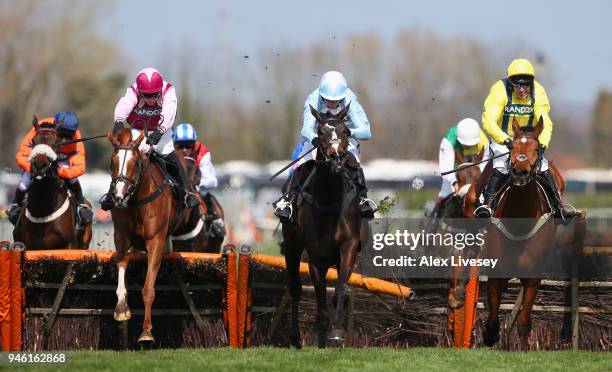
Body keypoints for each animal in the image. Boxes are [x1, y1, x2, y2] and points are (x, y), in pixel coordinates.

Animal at [12, 116, 92, 250]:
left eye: (56, 142)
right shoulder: (28, 245)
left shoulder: (69, 245)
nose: (39, 165)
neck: (43, 209)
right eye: (33, 141)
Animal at [107, 128, 194, 346]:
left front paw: (146, 332)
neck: (137, 200)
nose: (118, 196)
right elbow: (122, 268)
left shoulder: (156, 241)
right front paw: (121, 309)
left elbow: (148, 289)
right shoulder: (121, 236)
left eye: (134, 163)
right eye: (113, 162)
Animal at [284, 102, 364, 348]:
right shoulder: (316, 257)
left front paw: (337, 331)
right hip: (291, 246)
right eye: (320, 132)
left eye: (346, 131)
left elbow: (340, 288)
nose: (336, 157)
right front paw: (322, 337)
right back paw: (294, 335)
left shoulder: (349, 246)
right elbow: (319, 297)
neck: (330, 200)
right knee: (295, 287)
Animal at [480, 117, 560, 350]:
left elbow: (524, 321)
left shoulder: (533, 277)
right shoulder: (495, 273)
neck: (519, 222)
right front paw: (489, 337)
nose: (520, 172)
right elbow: (492, 319)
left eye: (536, 148)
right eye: (512, 147)